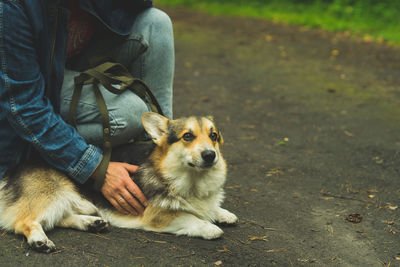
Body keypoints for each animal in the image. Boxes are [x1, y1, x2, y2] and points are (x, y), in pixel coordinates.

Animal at [0, 112, 238, 253]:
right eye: (187, 136)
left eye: (213, 136)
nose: (210, 155)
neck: (191, 179)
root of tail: (10, 172)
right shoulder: (157, 215)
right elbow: (190, 217)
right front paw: (210, 228)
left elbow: (209, 208)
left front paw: (222, 213)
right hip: (52, 196)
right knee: (25, 221)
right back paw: (39, 241)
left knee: (61, 218)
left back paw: (92, 223)